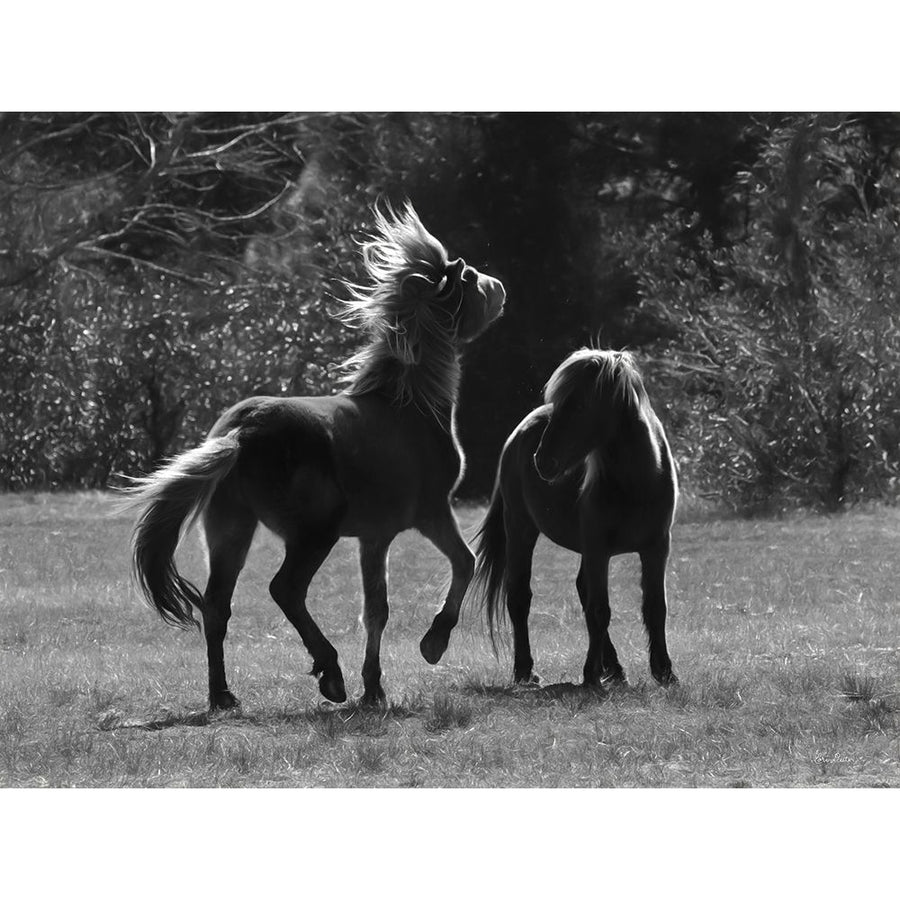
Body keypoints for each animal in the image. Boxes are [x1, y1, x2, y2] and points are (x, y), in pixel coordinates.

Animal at [121, 202, 506, 712]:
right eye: (470, 278)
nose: (499, 287)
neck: (409, 404)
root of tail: (243, 431)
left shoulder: (375, 537)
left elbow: (376, 610)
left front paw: (375, 688)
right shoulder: (432, 513)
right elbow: (464, 563)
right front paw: (433, 642)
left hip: (231, 531)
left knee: (217, 605)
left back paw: (223, 695)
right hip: (313, 534)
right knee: (285, 590)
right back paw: (329, 672)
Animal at [472, 346, 676, 688]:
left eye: (580, 405)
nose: (542, 460)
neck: (637, 483)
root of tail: (517, 434)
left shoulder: (656, 548)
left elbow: (654, 608)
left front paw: (664, 670)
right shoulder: (598, 549)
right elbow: (600, 610)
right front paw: (591, 674)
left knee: (582, 590)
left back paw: (615, 668)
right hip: (521, 529)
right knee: (519, 596)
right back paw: (525, 670)